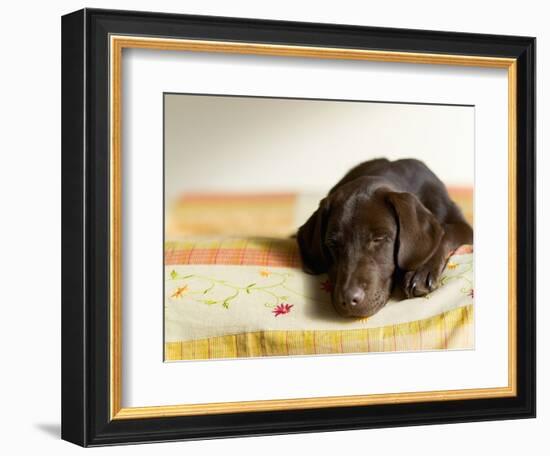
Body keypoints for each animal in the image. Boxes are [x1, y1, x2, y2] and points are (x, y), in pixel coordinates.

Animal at [298, 159, 474, 318]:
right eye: (332, 244)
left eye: (379, 238)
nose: (348, 300)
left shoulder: (464, 226)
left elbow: (446, 232)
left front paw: (421, 270)